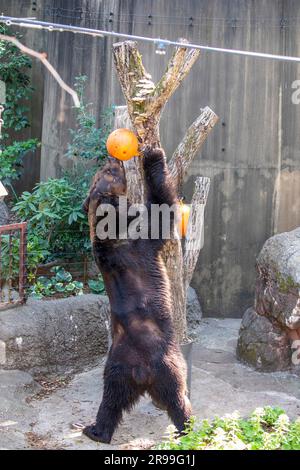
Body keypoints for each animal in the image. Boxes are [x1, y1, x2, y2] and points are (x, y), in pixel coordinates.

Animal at [82, 147, 192, 444]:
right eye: (108, 172)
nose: (112, 159)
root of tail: (142, 373)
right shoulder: (138, 243)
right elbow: (161, 211)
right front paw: (153, 155)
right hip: (169, 363)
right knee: (178, 398)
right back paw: (188, 428)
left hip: (116, 368)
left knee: (110, 401)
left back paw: (95, 430)